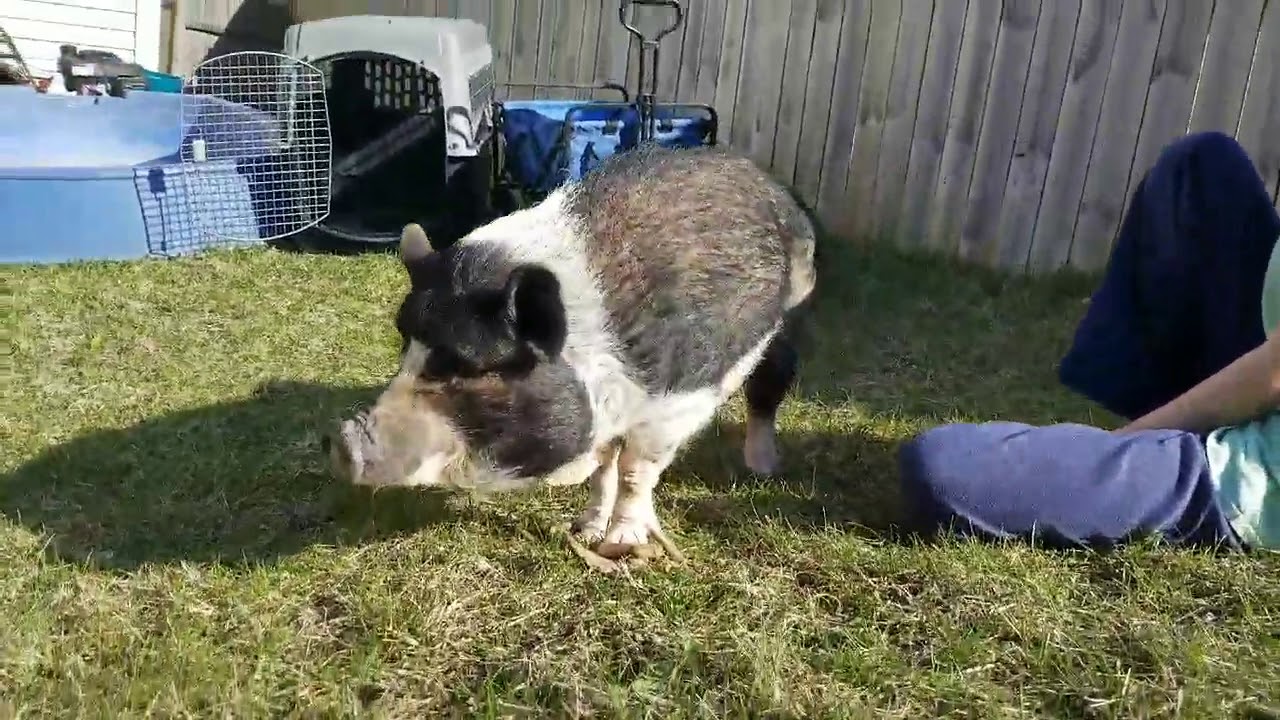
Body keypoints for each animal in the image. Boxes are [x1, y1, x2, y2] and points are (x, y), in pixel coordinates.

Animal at [324, 143, 816, 556]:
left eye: (464, 366)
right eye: (406, 348)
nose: (344, 439)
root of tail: (771, 184)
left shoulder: (677, 400)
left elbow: (635, 472)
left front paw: (622, 547)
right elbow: (604, 471)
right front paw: (586, 532)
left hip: (787, 323)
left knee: (769, 387)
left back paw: (763, 468)